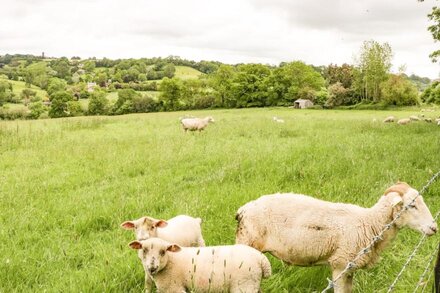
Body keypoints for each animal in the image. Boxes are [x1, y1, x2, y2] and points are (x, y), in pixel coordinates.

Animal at [128, 237, 272, 292]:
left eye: (163, 252)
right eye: (144, 250)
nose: (152, 268)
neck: (171, 261)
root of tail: (262, 259)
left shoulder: (175, 288)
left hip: (243, 286)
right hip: (252, 284)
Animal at [235, 181, 438, 290]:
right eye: (411, 205)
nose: (434, 228)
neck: (370, 223)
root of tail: (243, 209)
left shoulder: (350, 268)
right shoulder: (340, 265)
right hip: (246, 246)